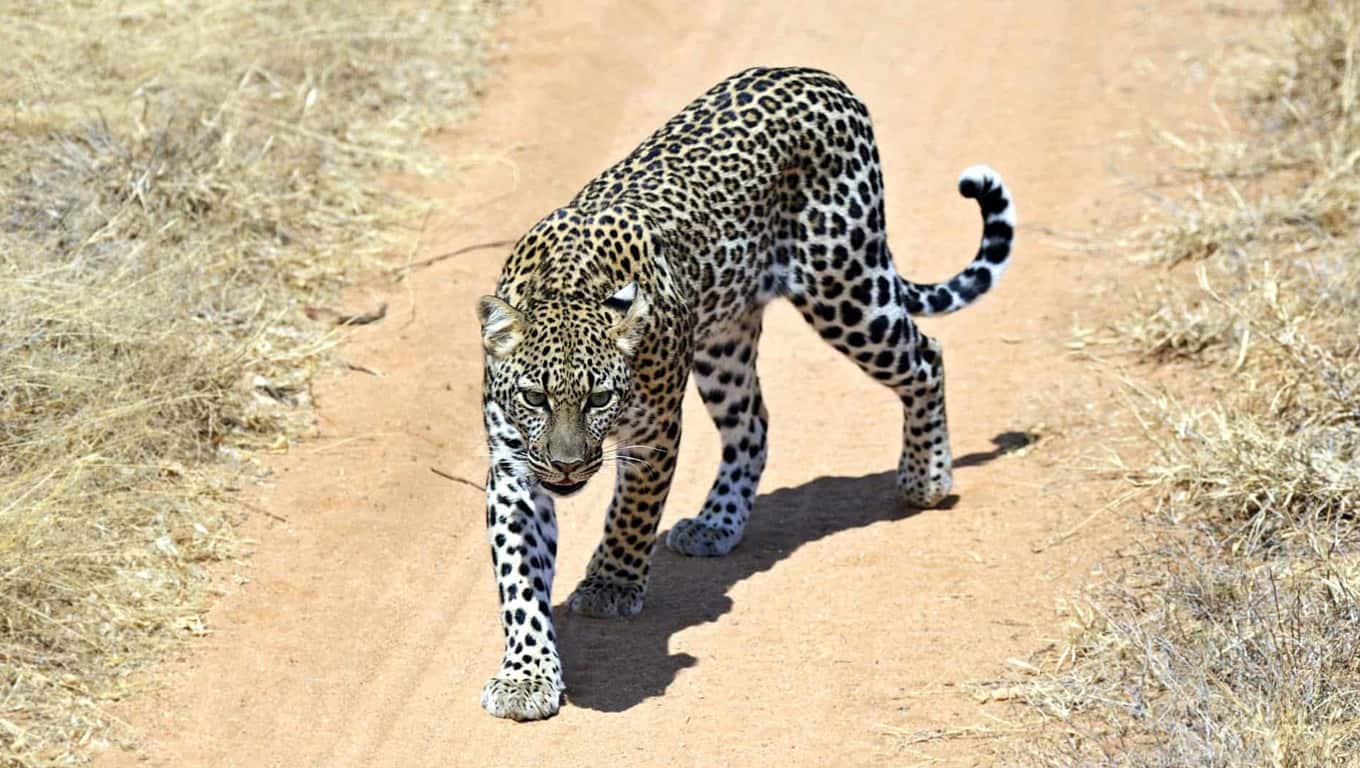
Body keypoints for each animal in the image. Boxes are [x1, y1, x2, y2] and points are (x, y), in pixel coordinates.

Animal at [473, 67, 1017, 717]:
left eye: (599, 399)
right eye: (533, 398)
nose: (567, 464)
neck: (566, 286)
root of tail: (824, 77)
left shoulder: (654, 432)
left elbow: (630, 514)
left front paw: (610, 584)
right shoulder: (514, 466)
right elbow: (519, 578)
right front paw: (527, 675)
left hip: (845, 290)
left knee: (926, 356)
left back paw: (926, 481)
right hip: (725, 340)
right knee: (752, 424)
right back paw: (717, 522)